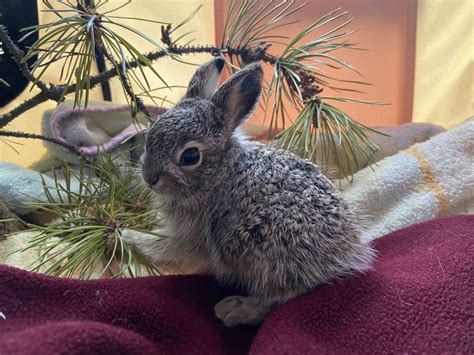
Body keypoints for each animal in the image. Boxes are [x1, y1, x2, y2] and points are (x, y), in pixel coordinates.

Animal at [126, 58, 374, 328]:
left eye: (190, 156)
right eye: (149, 137)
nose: (149, 178)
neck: (218, 172)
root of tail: (344, 253)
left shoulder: (191, 236)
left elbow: (163, 246)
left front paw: (129, 237)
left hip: (250, 245)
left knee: (281, 295)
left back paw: (236, 309)